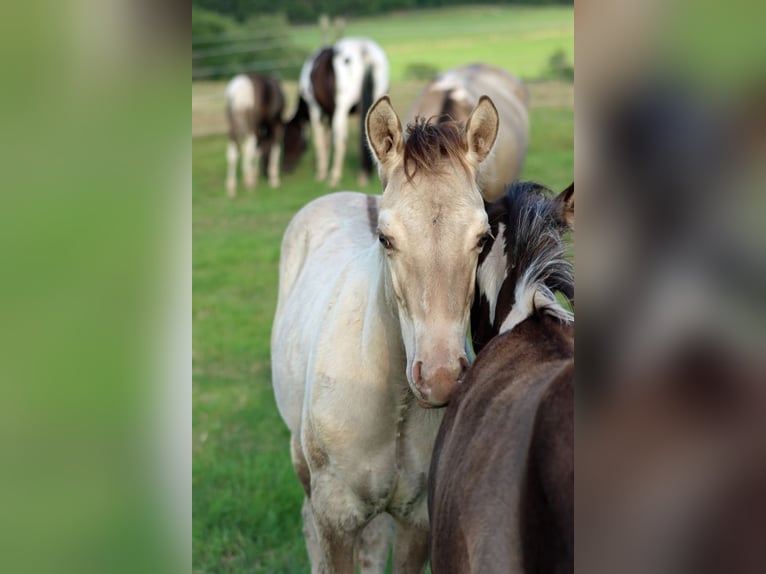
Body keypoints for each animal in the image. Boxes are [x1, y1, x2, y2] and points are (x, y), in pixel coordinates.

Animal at [282, 37, 389, 188]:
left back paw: (334, 177)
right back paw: (364, 175)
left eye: (287, 138)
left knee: (340, 139)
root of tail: (364, 51)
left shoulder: (315, 109)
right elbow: (328, 140)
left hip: (341, 108)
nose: (285, 168)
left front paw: (321, 173)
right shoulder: (331, 113)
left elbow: (320, 140)